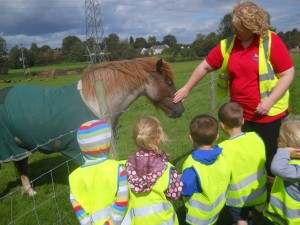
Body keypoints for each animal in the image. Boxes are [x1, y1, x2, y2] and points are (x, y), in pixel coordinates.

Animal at [0, 57, 184, 195]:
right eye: (168, 82)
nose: (180, 109)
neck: (96, 103)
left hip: (19, 146)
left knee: (21, 165)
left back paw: (29, 191)